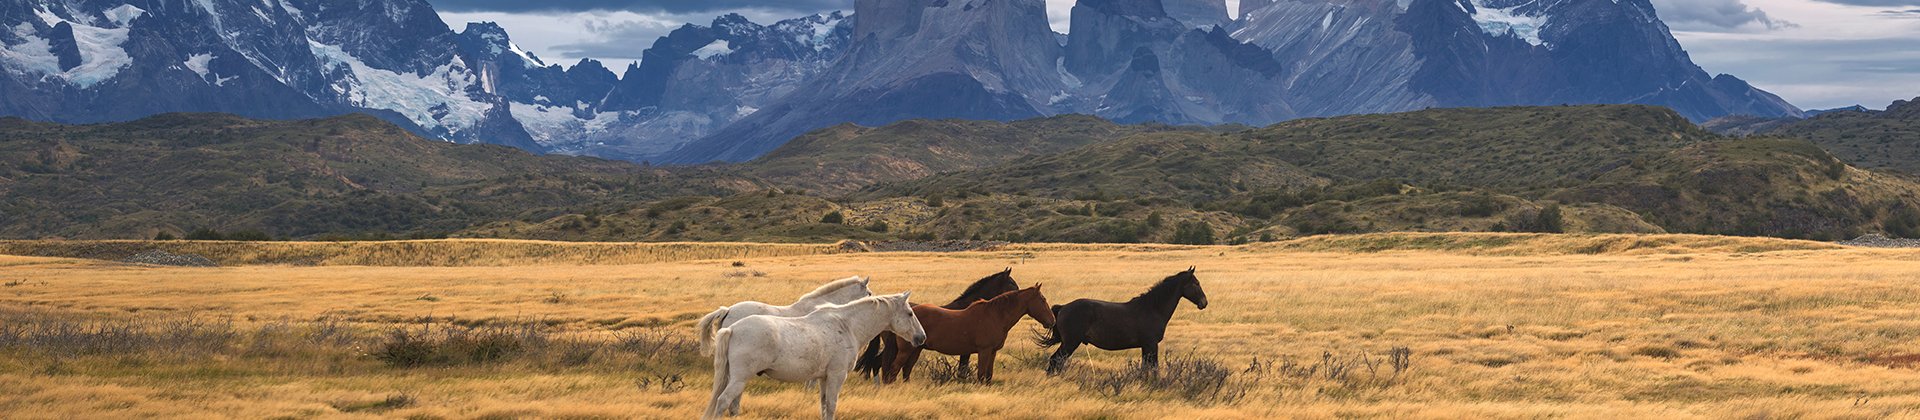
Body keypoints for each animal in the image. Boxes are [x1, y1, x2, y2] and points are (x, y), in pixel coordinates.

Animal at [706, 293, 929, 418]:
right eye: (910, 313)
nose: (921, 337)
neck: (847, 325)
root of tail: (732, 329)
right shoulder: (837, 376)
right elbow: (831, 406)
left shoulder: (824, 378)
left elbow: (823, 405)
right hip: (740, 379)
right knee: (723, 401)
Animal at [856, 268, 1021, 379]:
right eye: (1012, 284)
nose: (1019, 294)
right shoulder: (966, 351)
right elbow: (962, 370)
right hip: (894, 346)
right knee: (881, 363)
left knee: (876, 363)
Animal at [879, 285, 1059, 383]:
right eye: (1043, 299)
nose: (1052, 321)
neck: (995, 315)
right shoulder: (984, 351)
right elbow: (981, 375)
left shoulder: (992, 352)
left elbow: (988, 376)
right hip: (906, 350)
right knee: (894, 369)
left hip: (916, 349)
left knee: (906, 369)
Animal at [1044, 266, 1205, 372]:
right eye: (1196, 283)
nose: (1204, 302)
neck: (1152, 308)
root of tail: (1064, 307)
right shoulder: (1151, 344)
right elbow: (1153, 368)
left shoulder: (1146, 346)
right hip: (1070, 343)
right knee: (1055, 360)